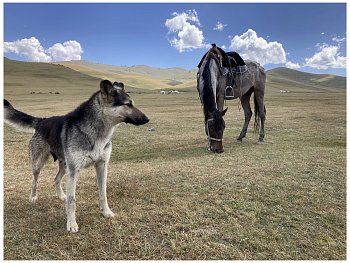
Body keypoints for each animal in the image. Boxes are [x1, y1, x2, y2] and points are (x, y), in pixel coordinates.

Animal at [4, 80, 149, 233]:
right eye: (128, 104)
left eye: (132, 103)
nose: (147, 119)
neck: (97, 132)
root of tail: (41, 121)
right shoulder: (74, 171)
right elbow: (72, 200)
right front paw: (71, 224)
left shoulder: (102, 166)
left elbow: (103, 193)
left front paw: (106, 212)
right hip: (39, 164)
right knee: (34, 180)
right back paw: (33, 197)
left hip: (64, 166)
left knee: (56, 179)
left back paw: (61, 195)